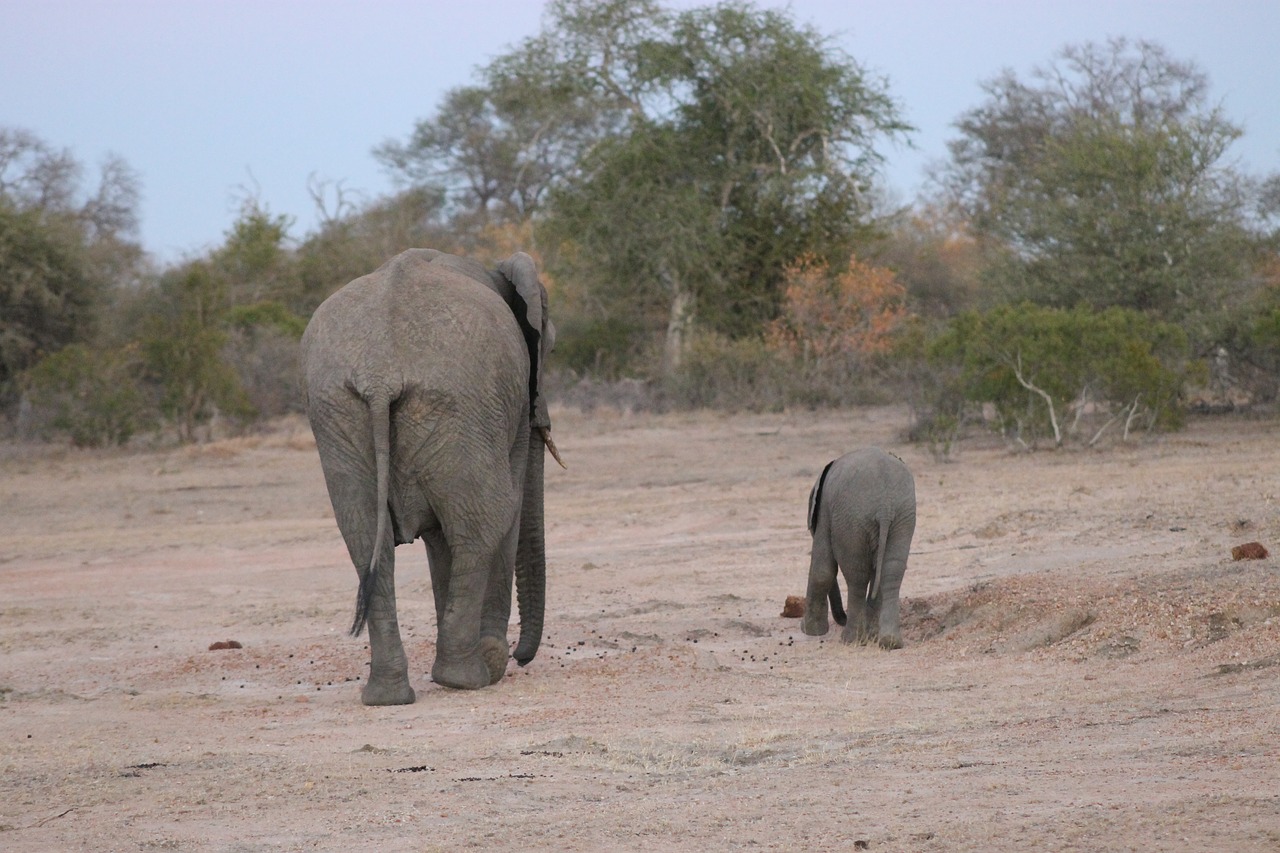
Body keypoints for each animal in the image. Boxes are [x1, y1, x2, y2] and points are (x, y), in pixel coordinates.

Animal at [302, 249, 563, 701]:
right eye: (548, 345)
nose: (521, 657)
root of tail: (379, 373)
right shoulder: (502, 411)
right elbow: (507, 510)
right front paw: (495, 659)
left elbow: (438, 537)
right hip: (459, 406)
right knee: (484, 522)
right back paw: (469, 676)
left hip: (339, 413)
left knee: (365, 538)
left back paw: (388, 696)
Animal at [803, 448, 916, 640]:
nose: (842, 618)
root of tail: (885, 507)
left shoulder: (825, 510)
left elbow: (822, 569)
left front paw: (810, 632)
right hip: (903, 516)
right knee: (891, 569)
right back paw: (887, 640)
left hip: (852, 518)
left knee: (857, 575)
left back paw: (852, 638)